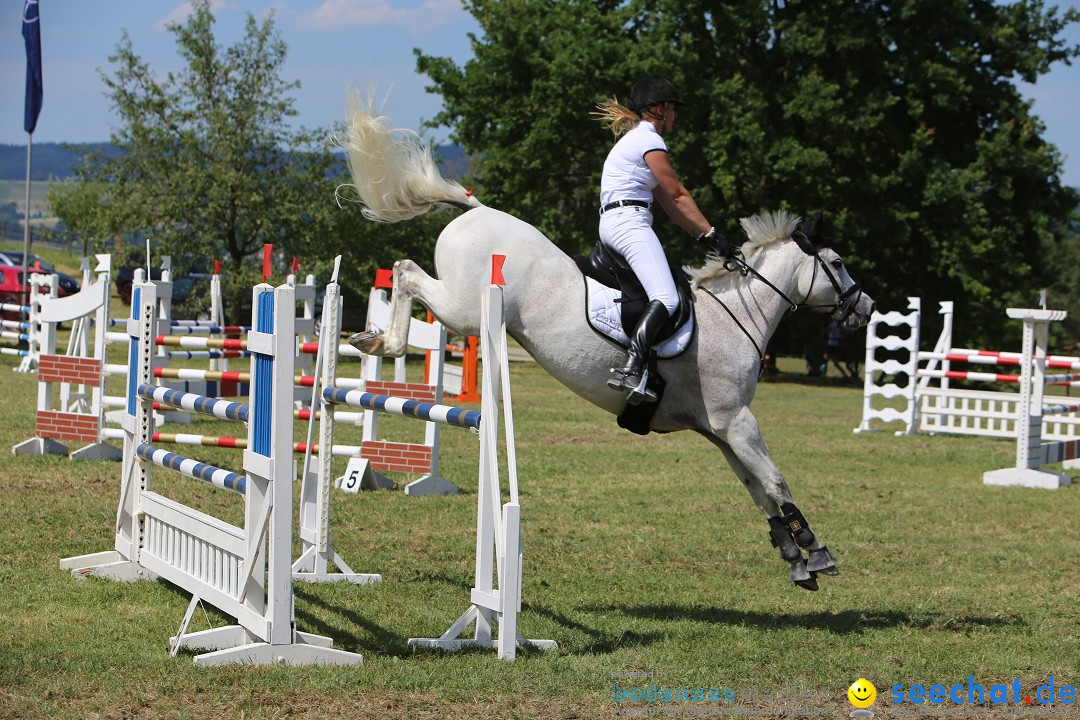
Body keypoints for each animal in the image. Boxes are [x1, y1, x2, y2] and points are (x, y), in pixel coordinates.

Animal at [336, 97, 876, 591]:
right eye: (839, 262)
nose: (866, 309)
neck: (736, 315)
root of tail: (477, 209)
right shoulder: (737, 422)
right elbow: (776, 480)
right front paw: (816, 551)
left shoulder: (720, 430)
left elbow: (758, 489)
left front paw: (793, 555)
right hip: (466, 307)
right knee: (406, 272)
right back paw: (382, 342)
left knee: (404, 272)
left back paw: (373, 339)